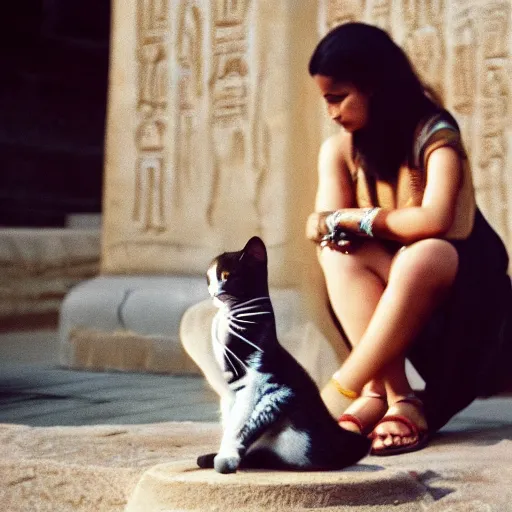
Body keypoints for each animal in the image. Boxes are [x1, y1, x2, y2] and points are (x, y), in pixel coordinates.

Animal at [197, 238, 372, 474]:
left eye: (226, 276)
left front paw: (226, 459)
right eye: (209, 280)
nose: (214, 292)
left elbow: (240, 427)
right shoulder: (230, 395)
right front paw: (221, 456)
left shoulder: (263, 386)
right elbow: (231, 423)